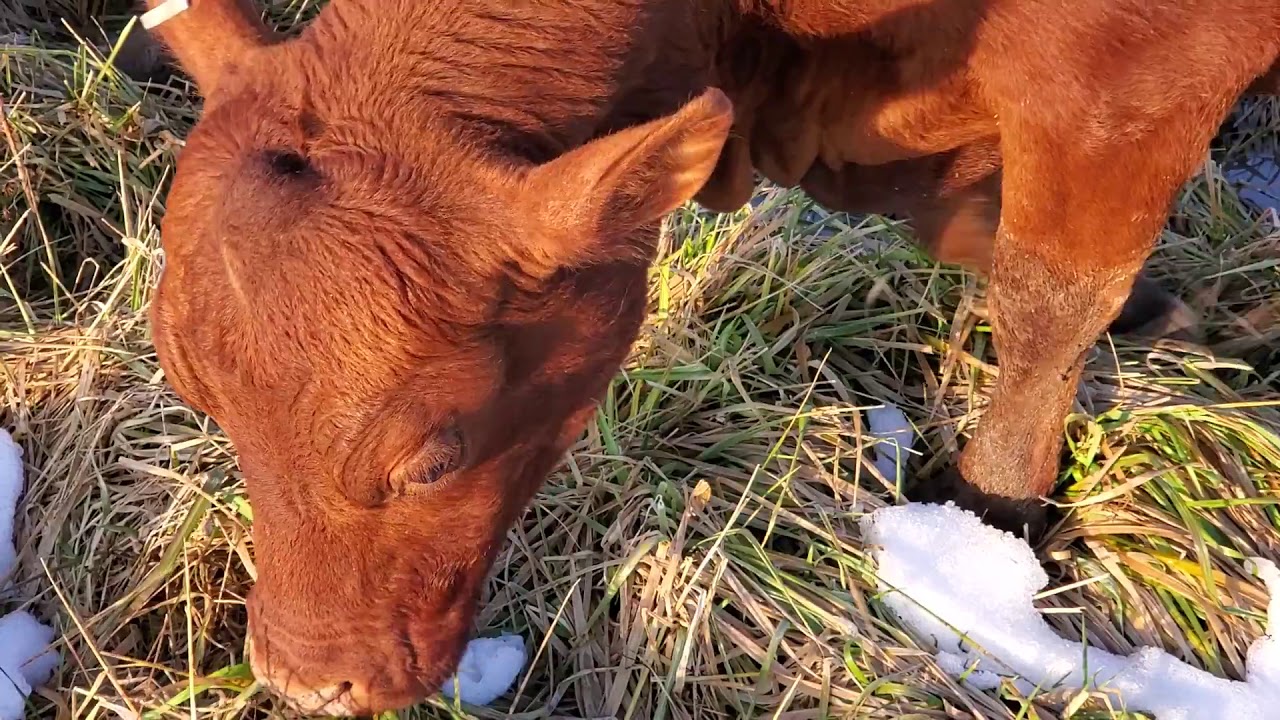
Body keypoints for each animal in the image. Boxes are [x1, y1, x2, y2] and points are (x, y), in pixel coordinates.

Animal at [131, 0, 1280, 713]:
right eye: (204, 402)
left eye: (429, 458)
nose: (300, 683)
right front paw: (1161, 314)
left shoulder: (1122, 87)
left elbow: (1050, 295)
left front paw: (988, 519)